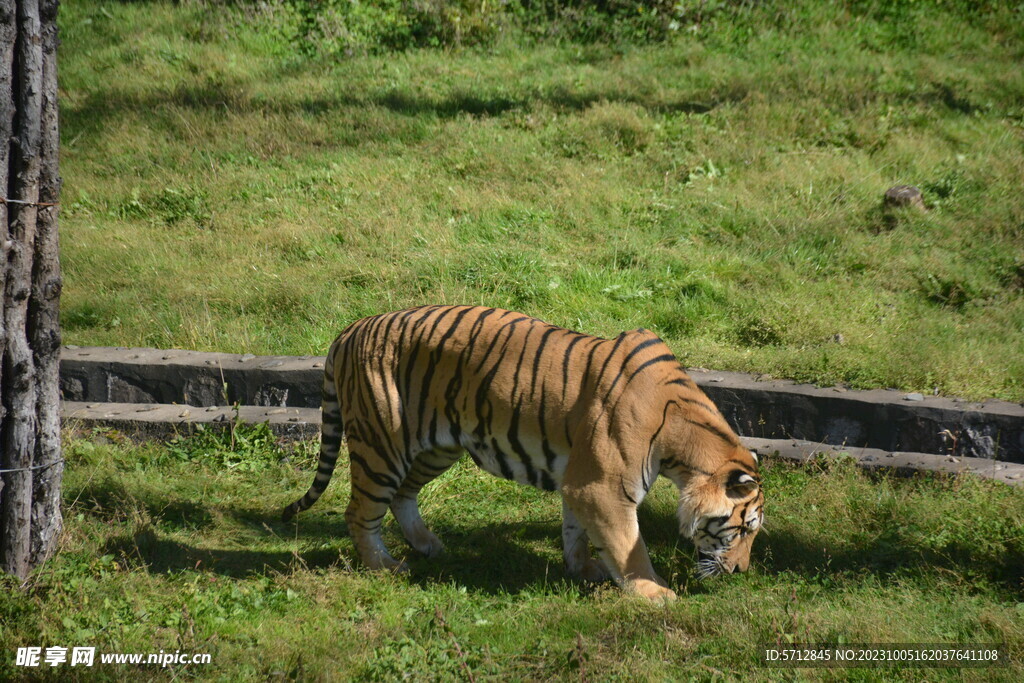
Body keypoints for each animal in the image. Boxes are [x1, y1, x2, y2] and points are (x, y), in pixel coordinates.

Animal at [280, 305, 761, 598]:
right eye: (743, 529)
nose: (742, 572)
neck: (682, 444)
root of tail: (350, 329)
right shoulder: (603, 487)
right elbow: (629, 545)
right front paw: (653, 592)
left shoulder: (581, 481)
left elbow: (577, 531)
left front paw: (582, 570)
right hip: (381, 444)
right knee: (360, 512)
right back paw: (385, 566)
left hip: (436, 448)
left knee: (402, 496)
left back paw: (429, 546)